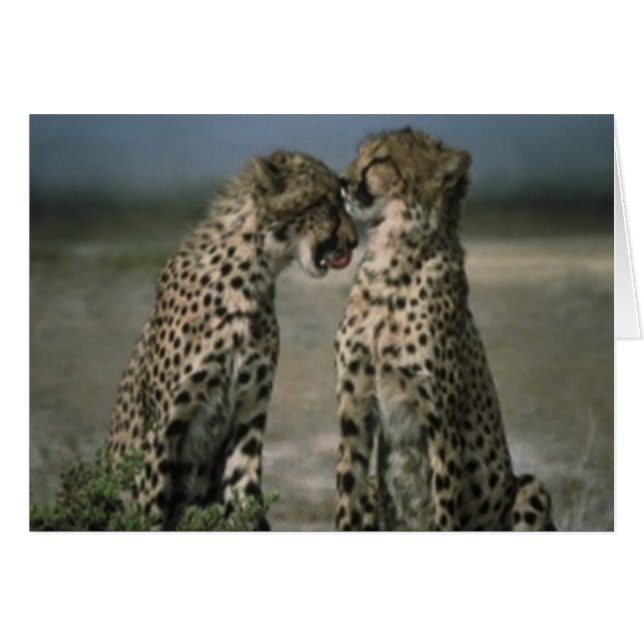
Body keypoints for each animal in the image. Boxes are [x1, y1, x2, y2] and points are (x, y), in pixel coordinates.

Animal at [107, 150, 358, 530]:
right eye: (326, 203)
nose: (355, 241)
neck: (251, 276)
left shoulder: (248, 417)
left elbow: (246, 498)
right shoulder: (161, 432)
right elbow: (151, 509)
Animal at [334, 128, 556, 531]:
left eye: (379, 160)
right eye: (360, 154)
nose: (341, 182)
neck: (391, 264)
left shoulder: (441, 424)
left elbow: (444, 507)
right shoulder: (353, 405)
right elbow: (347, 497)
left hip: (530, 488)